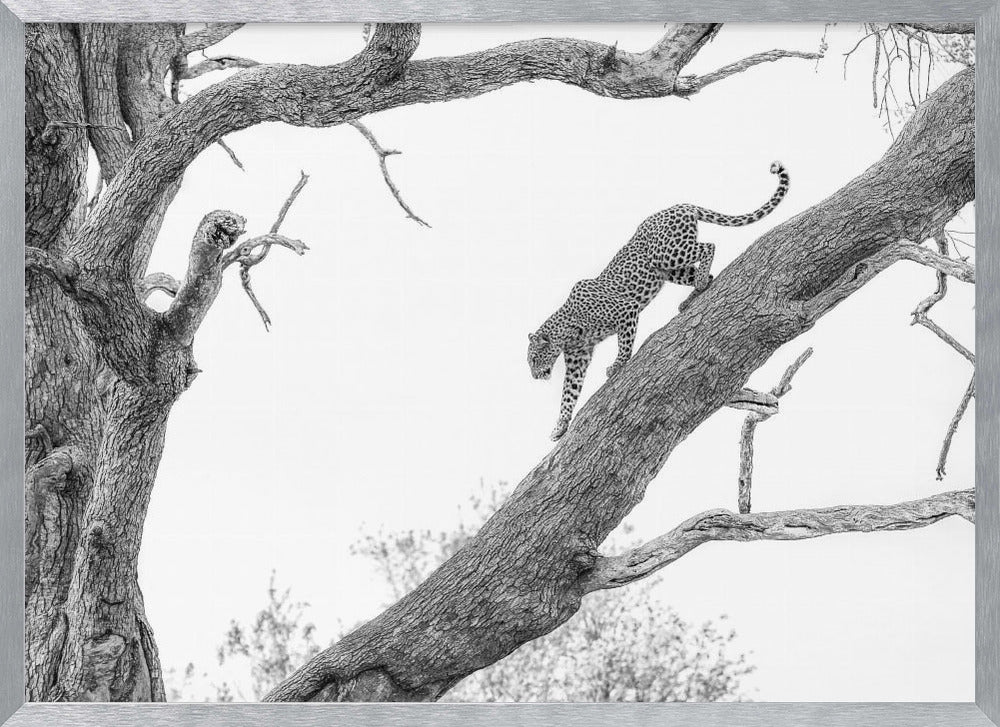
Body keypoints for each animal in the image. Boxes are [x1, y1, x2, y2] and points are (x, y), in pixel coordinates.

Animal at [528, 161, 790, 441]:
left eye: (533, 358)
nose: (534, 376)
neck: (567, 331)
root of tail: (680, 205)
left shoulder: (626, 311)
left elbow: (624, 344)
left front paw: (617, 366)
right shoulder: (578, 358)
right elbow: (569, 393)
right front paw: (560, 426)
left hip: (667, 254)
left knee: (708, 246)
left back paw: (699, 285)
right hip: (668, 269)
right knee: (704, 270)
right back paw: (693, 295)